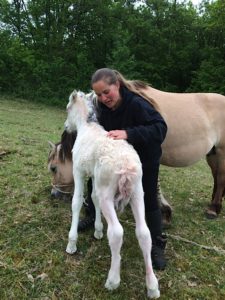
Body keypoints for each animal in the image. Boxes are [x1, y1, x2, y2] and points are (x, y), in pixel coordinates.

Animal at [64, 91, 160, 298]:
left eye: (67, 108)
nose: (66, 127)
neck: (86, 126)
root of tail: (126, 166)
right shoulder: (95, 177)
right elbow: (92, 198)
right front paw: (98, 230)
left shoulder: (78, 170)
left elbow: (77, 201)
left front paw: (72, 244)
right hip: (137, 193)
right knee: (144, 233)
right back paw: (152, 286)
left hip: (108, 193)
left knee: (117, 233)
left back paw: (113, 280)